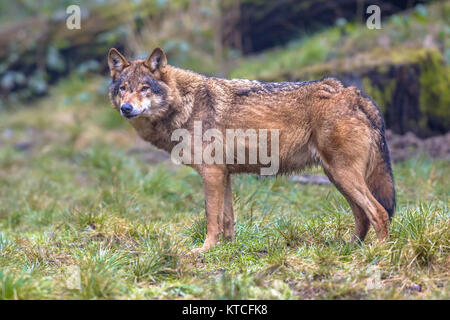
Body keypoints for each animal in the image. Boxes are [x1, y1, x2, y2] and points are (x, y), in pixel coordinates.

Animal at [107, 46, 396, 254]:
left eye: (144, 88)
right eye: (123, 89)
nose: (126, 108)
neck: (185, 105)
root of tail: (354, 93)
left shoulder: (211, 173)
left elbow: (211, 218)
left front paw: (204, 250)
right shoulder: (224, 174)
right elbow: (227, 220)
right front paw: (227, 249)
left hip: (343, 175)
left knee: (379, 212)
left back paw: (377, 253)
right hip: (336, 176)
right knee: (362, 216)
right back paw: (350, 249)